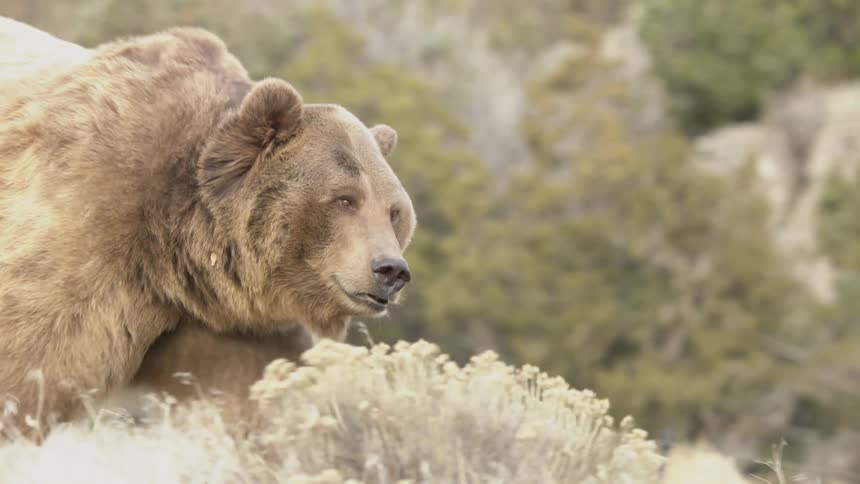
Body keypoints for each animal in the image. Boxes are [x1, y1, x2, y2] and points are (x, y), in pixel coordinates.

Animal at [0, 18, 416, 428]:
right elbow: (30, 363)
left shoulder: (229, 328)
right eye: (344, 198)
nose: (390, 269)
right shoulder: (83, 225)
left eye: (394, 211)